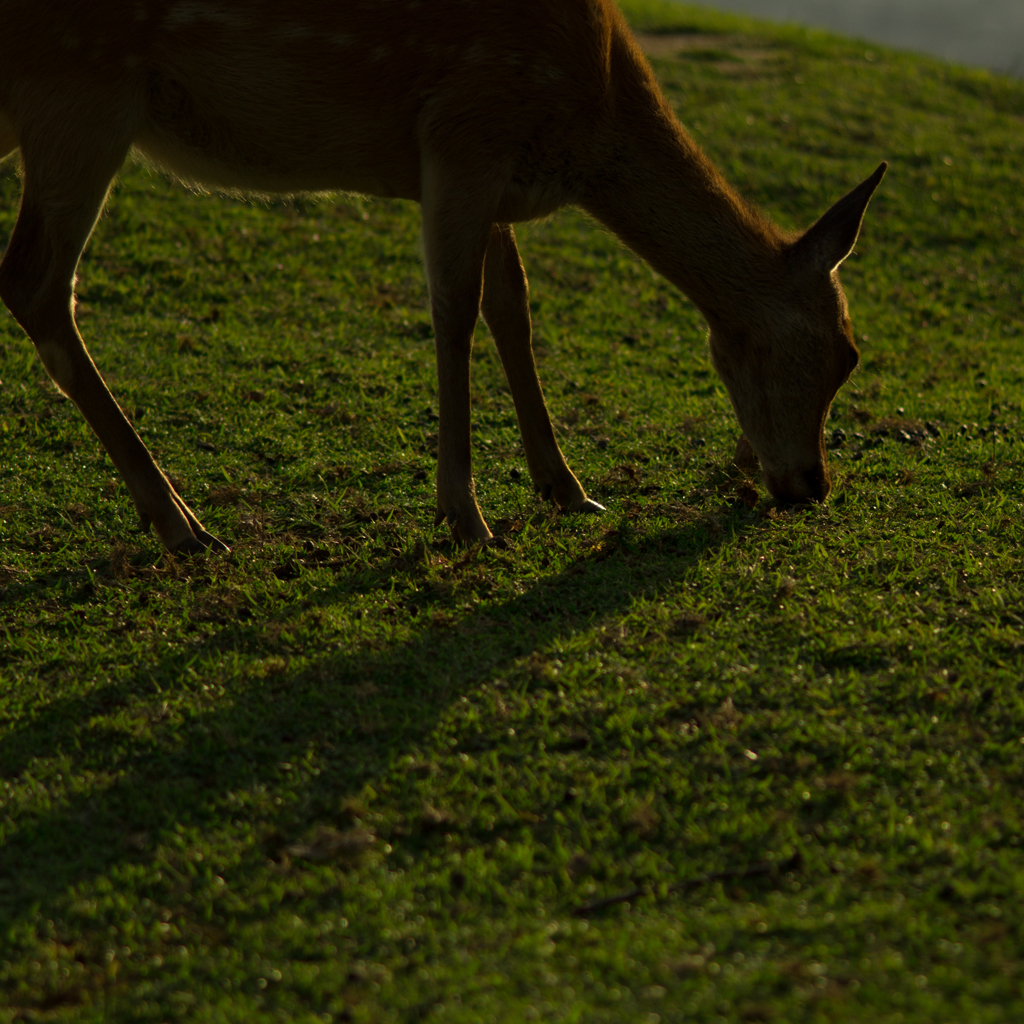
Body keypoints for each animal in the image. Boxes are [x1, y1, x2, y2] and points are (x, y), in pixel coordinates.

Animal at [0, 0, 880, 557]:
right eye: (845, 353)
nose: (812, 483)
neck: (592, 118)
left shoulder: (494, 172)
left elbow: (513, 309)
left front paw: (567, 487)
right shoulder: (464, 130)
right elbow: (455, 309)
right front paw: (466, 516)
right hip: (82, 92)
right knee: (36, 282)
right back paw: (181, 522)